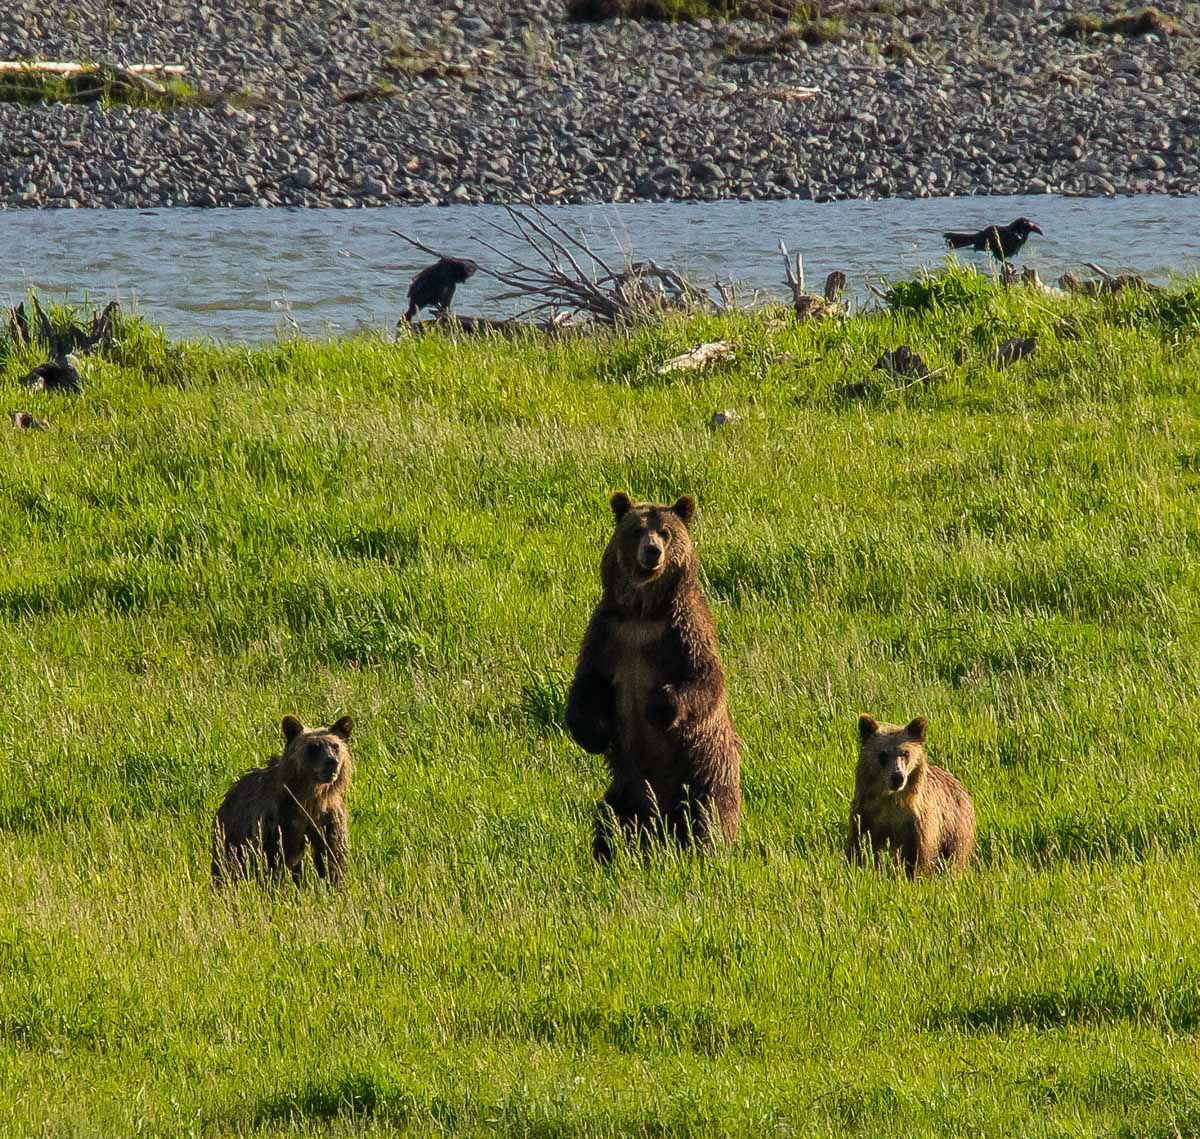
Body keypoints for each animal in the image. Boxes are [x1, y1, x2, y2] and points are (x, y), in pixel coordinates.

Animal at [212, 715, 354, 885]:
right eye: (313, 747)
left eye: (335, 745)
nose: (331, 762)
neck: (308, 798)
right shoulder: (278, 820)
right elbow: (274, 857)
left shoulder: (328, 818)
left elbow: (333, 855)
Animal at [565, 492, 741, 861]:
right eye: (637, 530)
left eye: (665, 532)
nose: (652, 551)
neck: (643, 612)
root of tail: (662, 828)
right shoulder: (609, 632)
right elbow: (587, 682)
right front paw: (593, 733)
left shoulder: (683, 631)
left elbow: (705, 680)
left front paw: (658, 707)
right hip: (626, 789)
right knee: (609, 817)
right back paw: (609, 855)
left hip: (705, 776)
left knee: (709, 817)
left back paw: (704, 851)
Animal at [846, 715, 975, 877]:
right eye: (883, 754)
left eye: (905, 753)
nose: (897, 776)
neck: (890, 798)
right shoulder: (866, 814)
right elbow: (860, 845)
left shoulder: (914, 820)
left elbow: (917, 854)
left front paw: (914, 874)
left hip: (955, 827)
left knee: (955, 857)